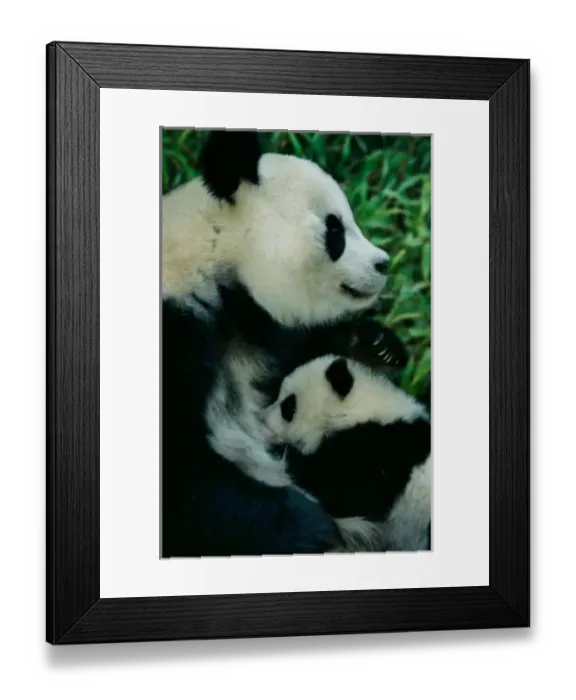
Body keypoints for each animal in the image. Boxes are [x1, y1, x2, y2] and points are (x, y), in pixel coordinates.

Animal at [161, 130, 405, 557]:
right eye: (335, 229)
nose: (383, 263)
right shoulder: (174, 335)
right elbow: (184, 486)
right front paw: (316, 529)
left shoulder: (254, 328)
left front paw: (377, 347)